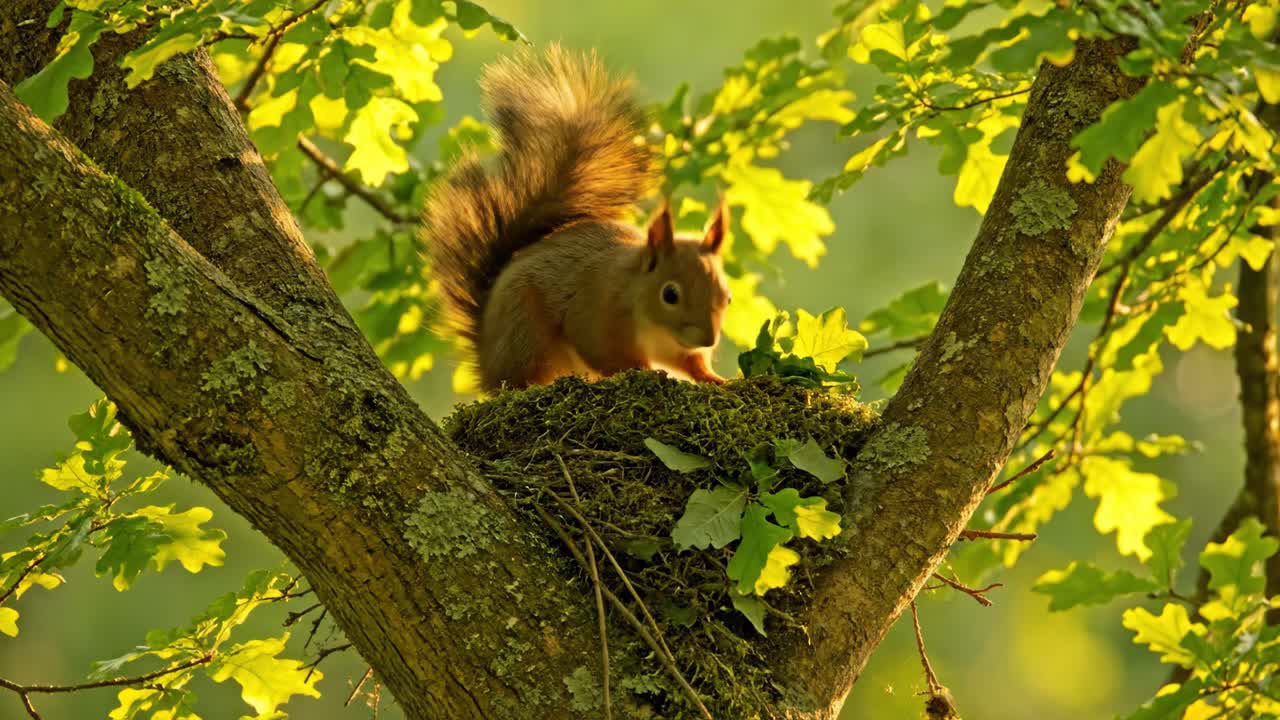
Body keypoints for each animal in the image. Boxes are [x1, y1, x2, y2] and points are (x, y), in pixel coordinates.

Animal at [422, 45, 732, 393]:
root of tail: (487, 362)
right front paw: (644, 371)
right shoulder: (595, 313)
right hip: (525, 333)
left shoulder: (679, 348)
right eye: (670, 294)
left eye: (727, 297)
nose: (707, 340)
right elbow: (606, 356)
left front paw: (715, 377)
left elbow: (691, 364)